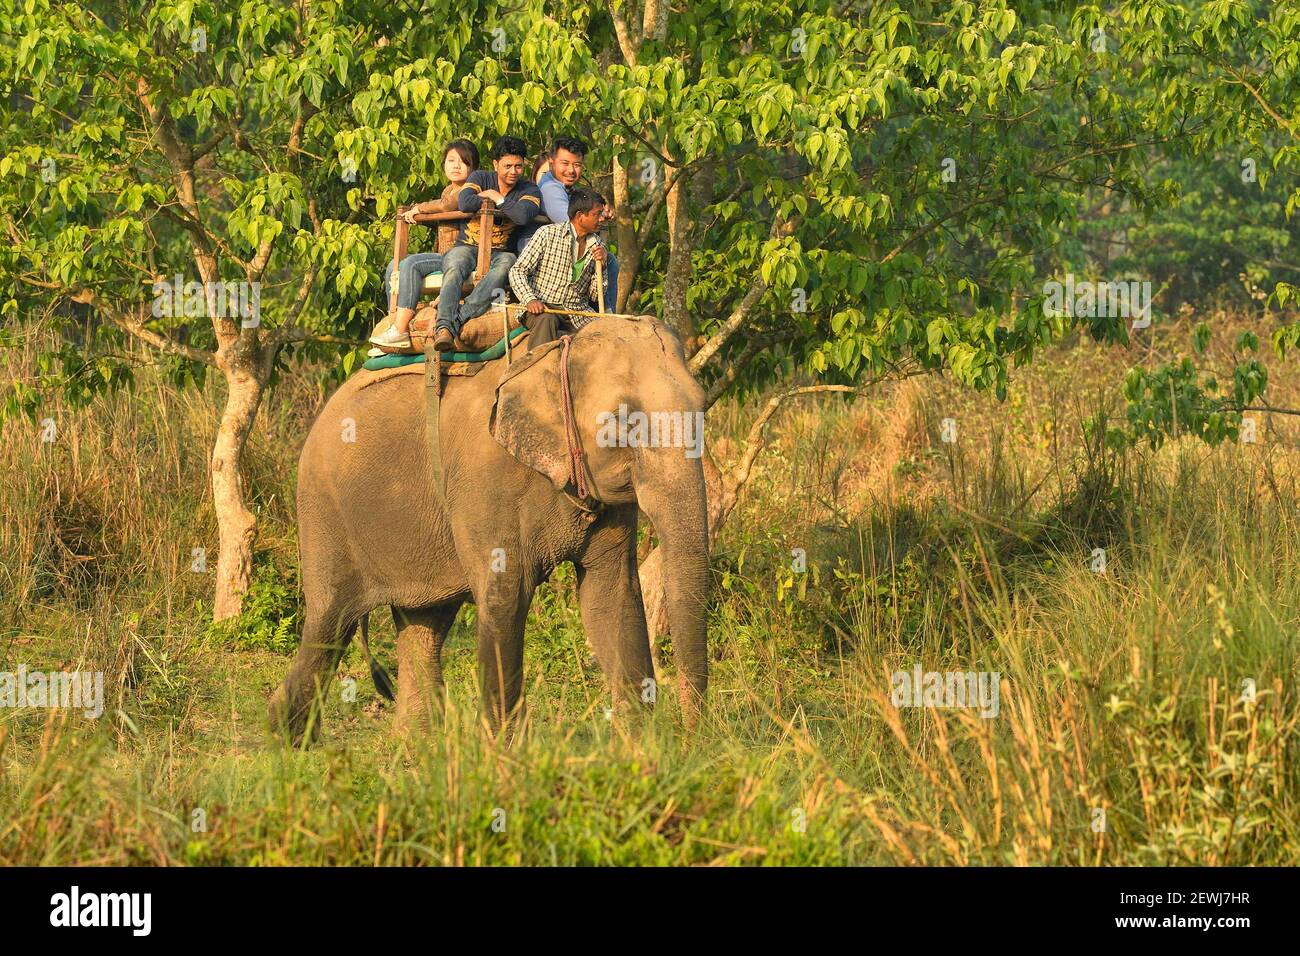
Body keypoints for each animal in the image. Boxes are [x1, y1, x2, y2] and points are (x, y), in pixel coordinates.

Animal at [267, 316, 710, 743]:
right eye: (620, 424)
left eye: (703, 408)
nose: (693, 739)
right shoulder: (486, 481)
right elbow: (505, 596)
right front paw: (505, 752)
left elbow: (611, 594)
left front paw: (639, 746)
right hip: (324, 510)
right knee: (331, 620)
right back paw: (288, 739)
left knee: (425, 622)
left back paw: (416, 744)